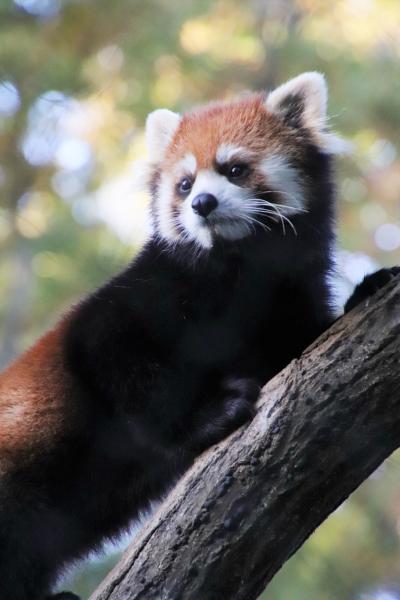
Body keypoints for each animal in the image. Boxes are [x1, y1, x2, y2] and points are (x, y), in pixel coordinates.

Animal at [0, 72, 396, 596]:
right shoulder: (136, 302)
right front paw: (210, 416)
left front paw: (367, 290)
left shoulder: (284, 303)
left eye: (234, 169)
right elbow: (125, 366)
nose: (202, 203)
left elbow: (303, 342)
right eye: (184, 183)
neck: (240, 271)